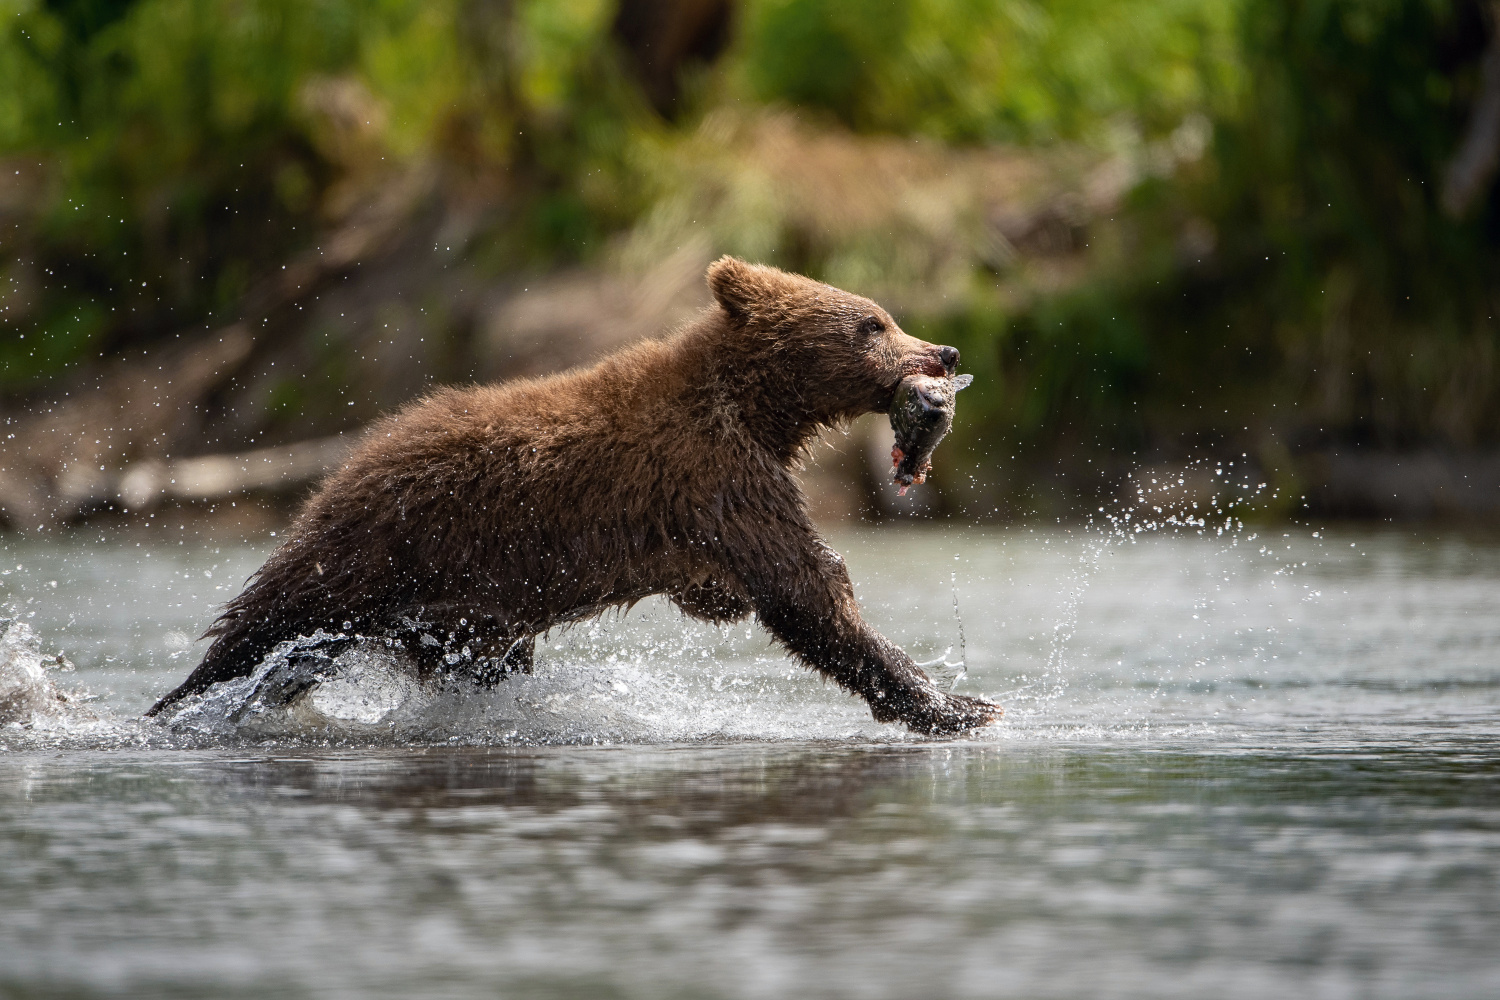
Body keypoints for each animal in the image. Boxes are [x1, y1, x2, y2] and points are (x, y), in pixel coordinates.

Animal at [149, 257, 996, 734]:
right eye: (872, 321)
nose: (945, 350)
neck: (755, 408)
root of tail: (343, 468)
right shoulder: (716, 473)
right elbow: (806, 589)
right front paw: (954, 703)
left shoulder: (712, 499)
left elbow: (741, 586)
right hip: (386, 548)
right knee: (262, 628)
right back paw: (185, 702)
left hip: (457, 606)